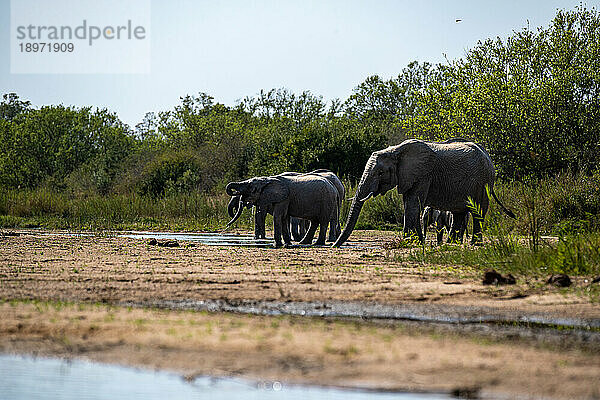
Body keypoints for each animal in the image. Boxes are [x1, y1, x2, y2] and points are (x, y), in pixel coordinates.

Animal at [332, 139, 516, 248]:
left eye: (380, 173)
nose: (334, 246)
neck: (396, 151)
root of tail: (488, 156)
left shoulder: (423, 174)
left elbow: (413, 203)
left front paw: (408, 241)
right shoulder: (409, 177)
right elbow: (409, 203)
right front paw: (414, 240)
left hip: (483, 183)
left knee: (478, 211)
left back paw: (475, 245)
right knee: (459, 213)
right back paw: (452, 243)